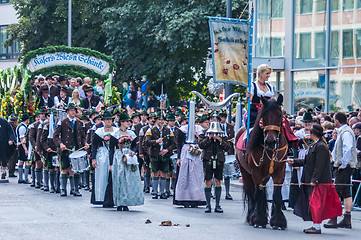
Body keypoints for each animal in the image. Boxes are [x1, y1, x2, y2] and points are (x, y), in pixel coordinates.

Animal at [236, 94, 286, 230]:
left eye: (280, 115)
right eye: (264, 116)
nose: (270, 141)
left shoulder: (280, 172)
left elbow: (277, 195)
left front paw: (278, 222)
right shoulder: (256, 171)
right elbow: (257, 194)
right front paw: (258, 219)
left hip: (265, 175)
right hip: (245, 172)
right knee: (251, 192)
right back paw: (251, 217)